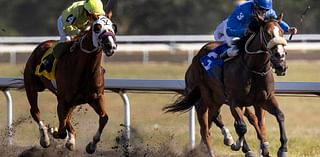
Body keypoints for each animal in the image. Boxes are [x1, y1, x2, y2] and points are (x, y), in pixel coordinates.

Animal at [23, 15, 117, 154]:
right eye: (97, 27)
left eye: (113, 27)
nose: (111, 46)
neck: (85, 69)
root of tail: (41, 45)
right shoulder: (63, 99)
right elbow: (62, 130)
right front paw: (54, 131)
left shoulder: (96, 97)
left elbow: (104, 118)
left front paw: (91, 145)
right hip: (32, 87)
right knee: (35, 111)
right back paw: (45, 138)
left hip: (72, 101)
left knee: (66, 117)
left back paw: (70, 139)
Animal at [164, 14, 288, 156]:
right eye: (267, 33)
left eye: (282, 32)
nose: (280, 57)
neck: (253, 69)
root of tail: (194, 60)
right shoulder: (235, 102)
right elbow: (241, 126)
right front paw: (240, 146)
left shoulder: (264, 99)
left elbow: (278, 116)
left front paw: (281, 148)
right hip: (203, 100)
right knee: (206, 129)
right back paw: (222, 144)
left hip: (218, 99)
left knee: (215, 119)